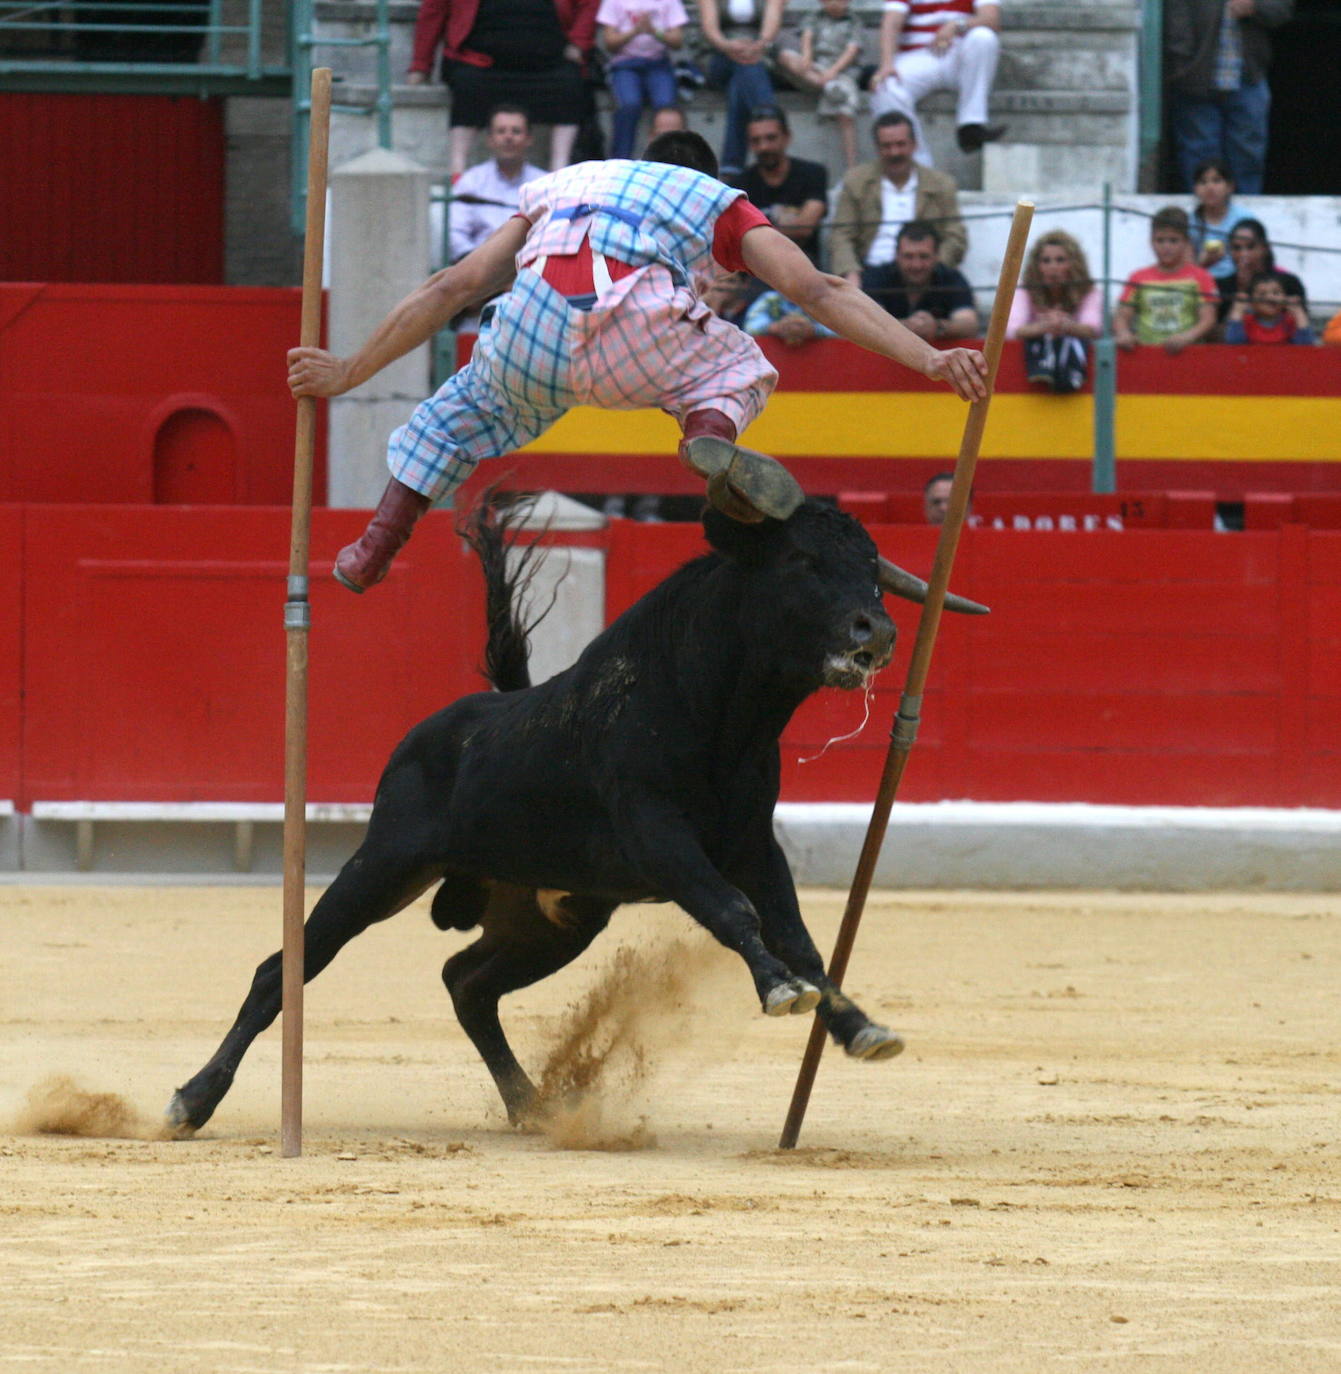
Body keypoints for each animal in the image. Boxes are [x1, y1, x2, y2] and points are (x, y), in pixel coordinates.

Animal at [167, 500, 983, 1132]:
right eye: (803, 562)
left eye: (871, 566)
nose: (877, 632)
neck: (724, 716)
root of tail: (438, 731)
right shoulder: (658, 836)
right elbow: (733, 912)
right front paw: (779, 991)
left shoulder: (754, 845)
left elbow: (803, 941)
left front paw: (860, 1026)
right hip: (384, 865)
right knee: (283, 970)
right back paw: (191, 1101)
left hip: (558, 917)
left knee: (467, 982)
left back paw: (533, 1107)